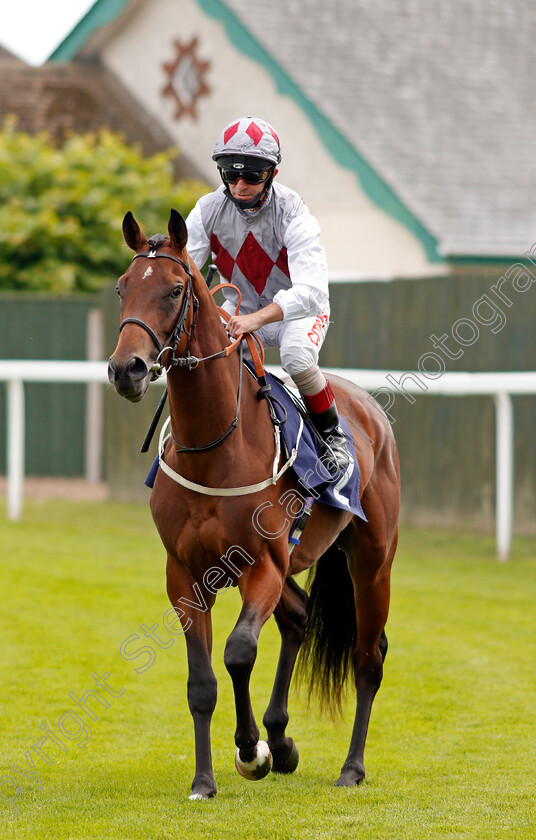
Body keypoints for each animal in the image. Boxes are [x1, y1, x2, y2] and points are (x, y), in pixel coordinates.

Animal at [109, 210, 400, 800]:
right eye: (124, 286)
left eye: (175, 289)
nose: (126, 369)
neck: (215, 447)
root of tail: (371, 412)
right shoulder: (185, 575)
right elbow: (201, 681)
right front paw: (206, 779)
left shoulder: (261, 565)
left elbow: (239, 651)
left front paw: (250, 749)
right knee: (299, 618)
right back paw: (282, 739)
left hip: (372, 563)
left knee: (368, 659)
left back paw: (350, 767)